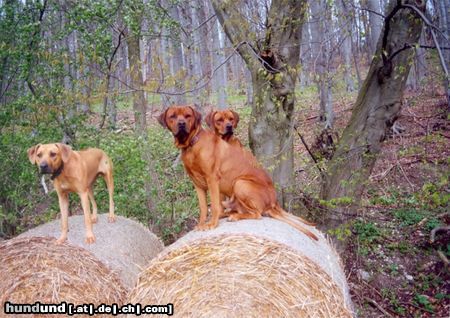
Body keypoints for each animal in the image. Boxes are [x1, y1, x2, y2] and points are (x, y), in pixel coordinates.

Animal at [158, 105, 316, 240]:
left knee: (257, 214)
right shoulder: (198, 184)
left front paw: (212, 223)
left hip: (240, 183)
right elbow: (203, 208)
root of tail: (273, 203)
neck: (192, 144)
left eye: (187, 115)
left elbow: (214, 206)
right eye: (173, 116)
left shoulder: (212, 179)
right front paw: (201, 224)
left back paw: (234, 216)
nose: (181, 124)